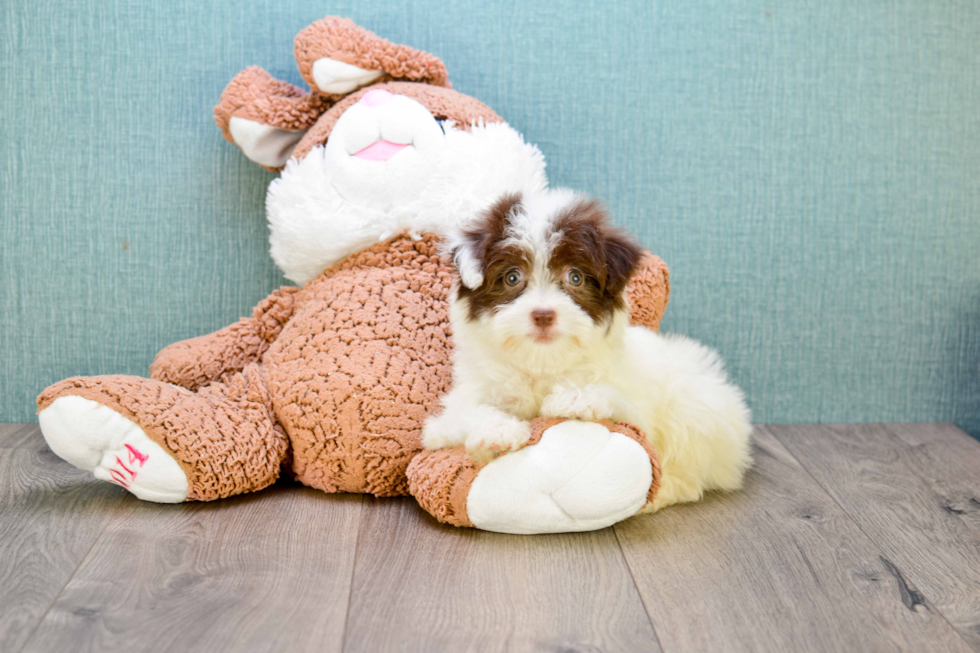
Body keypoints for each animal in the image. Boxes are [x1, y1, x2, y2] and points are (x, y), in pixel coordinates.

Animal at [424, 188, 756, 510]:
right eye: (512, 277)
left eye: (575, 277)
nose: (543, 314)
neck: (541, 362)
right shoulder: (449, 416)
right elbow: (460, 415)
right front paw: (497, 430)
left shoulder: (634, 403)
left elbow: (618, 400)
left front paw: (576, 398)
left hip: (695, 407)